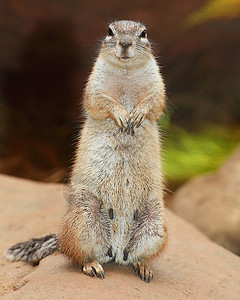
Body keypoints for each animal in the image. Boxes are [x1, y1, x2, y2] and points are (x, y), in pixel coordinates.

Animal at [5, 19, 167, 282]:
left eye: (143, 33)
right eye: (110, 31)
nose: (125, 44)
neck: (126, 73)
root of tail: (116, 250)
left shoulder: (158, 85)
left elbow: (155, 101)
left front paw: (137, 114)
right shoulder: (93, 86)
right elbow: (100, 101)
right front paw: (122, 115)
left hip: (155, 222)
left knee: (133, 256)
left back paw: (143, 267)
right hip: (84, 216)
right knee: (78, 255)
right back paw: (92, 265)